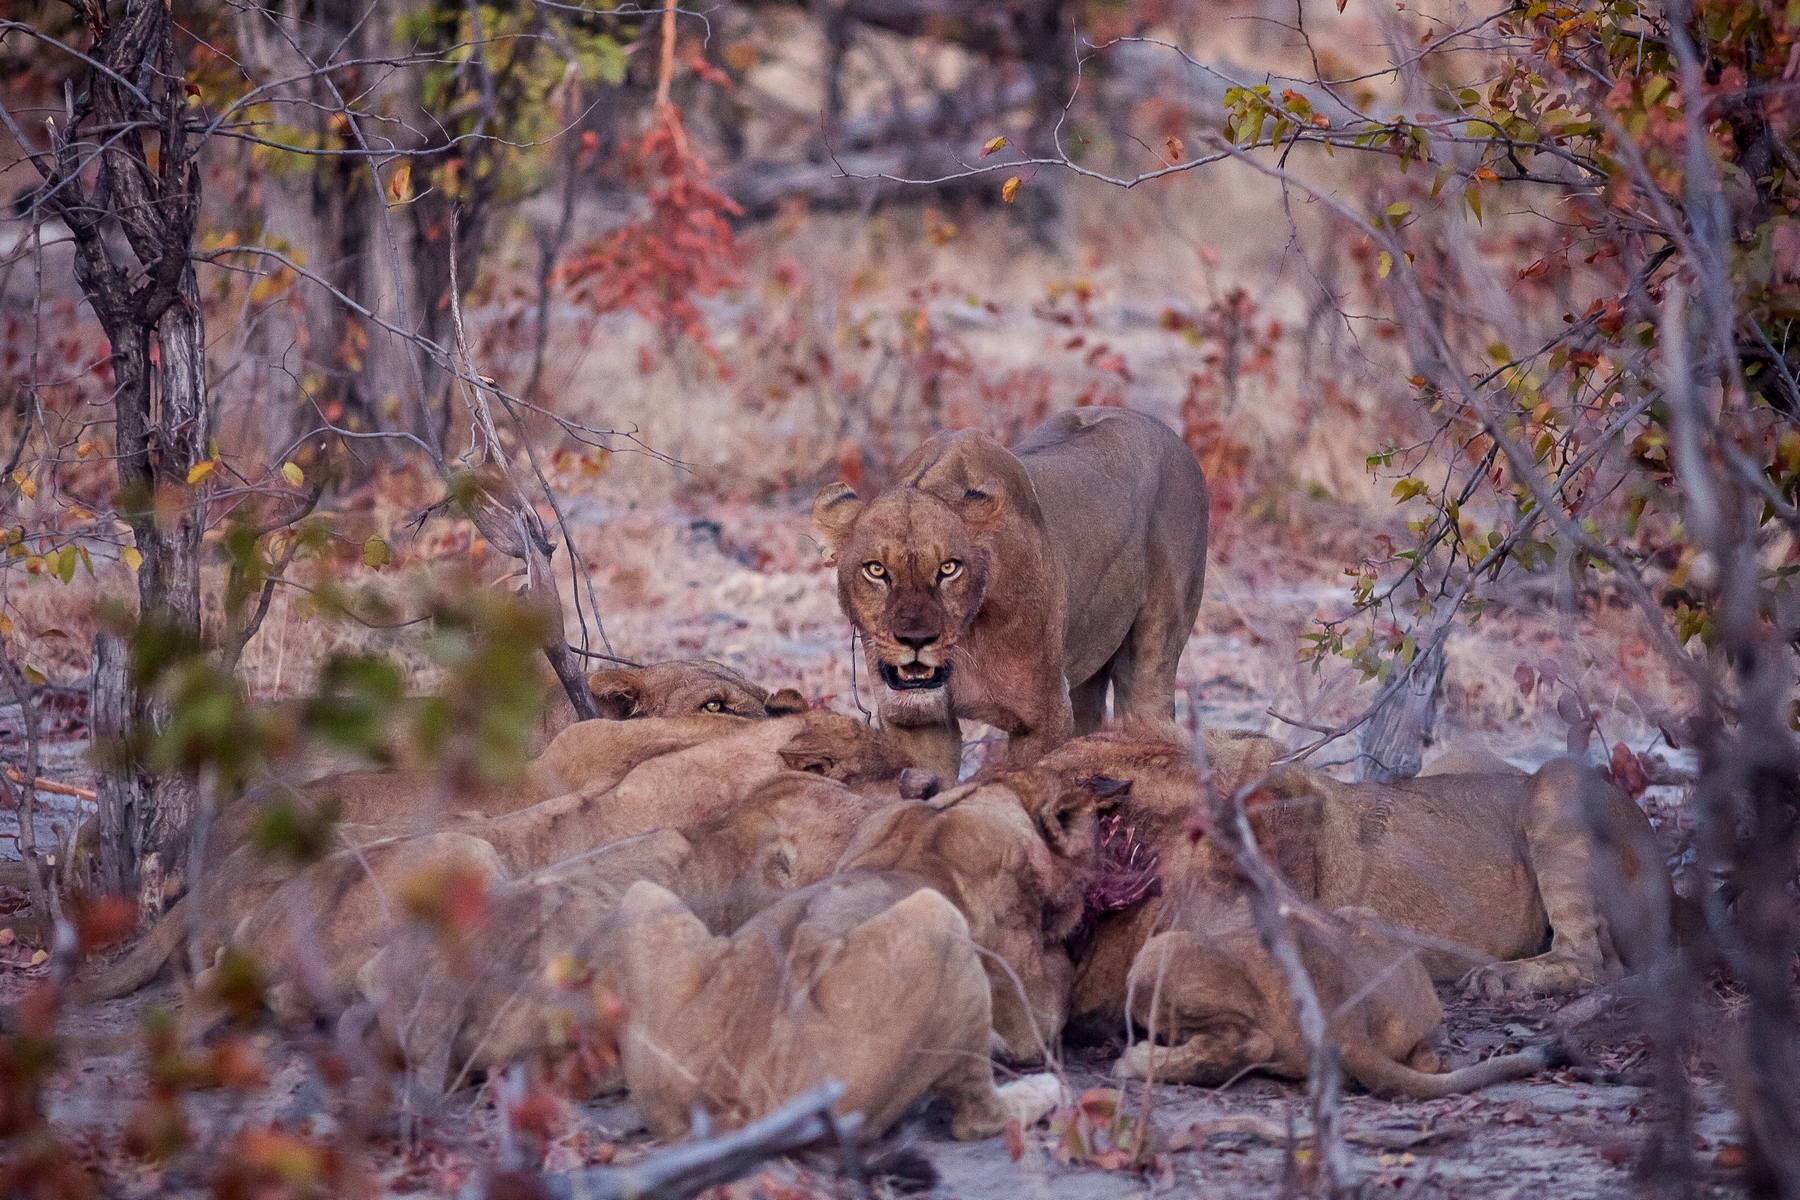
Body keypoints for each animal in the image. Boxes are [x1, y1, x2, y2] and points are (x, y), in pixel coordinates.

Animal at [812, 408, 1209, 779]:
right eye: (876, 570)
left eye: (949, 568)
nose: (916, 640)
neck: (967, 641)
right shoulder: (916, 722)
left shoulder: (1044, 717)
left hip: (1151, 663)